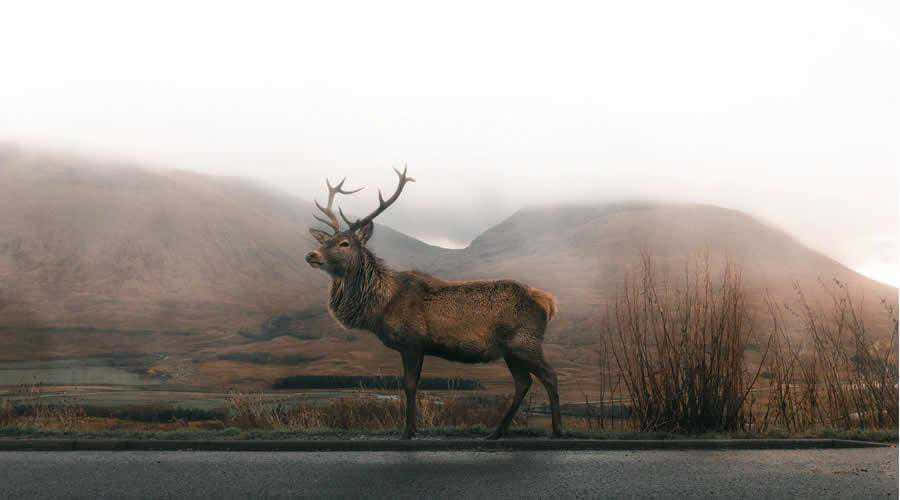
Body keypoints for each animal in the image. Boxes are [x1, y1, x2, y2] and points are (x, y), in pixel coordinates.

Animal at [304, 167, 562, 439]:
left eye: (344, 243)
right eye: (324, 241)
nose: (311, 255)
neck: (381, 307)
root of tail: (547, 302)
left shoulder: (412, 341)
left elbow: (409, 385)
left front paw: (407, 431)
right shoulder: (418, 346)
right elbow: (413, 385)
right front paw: (413, 428)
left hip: (525, 342)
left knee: (549, 375)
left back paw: (557, 429)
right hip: (510, 350)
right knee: (524, 383)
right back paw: (497, 432)